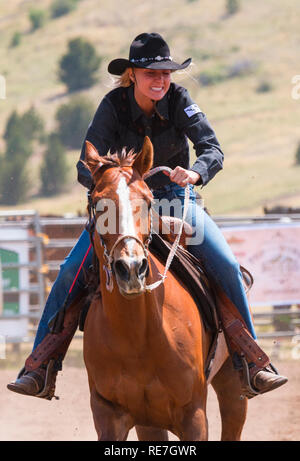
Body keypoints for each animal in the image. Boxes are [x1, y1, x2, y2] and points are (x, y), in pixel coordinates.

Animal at [82, 136, 246, 438]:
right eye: (98, 205)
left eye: (147, 202)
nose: (131, 268)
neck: (139, 335)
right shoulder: (108, 414)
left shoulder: (193, 416)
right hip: (148, 422)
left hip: (232, 384)